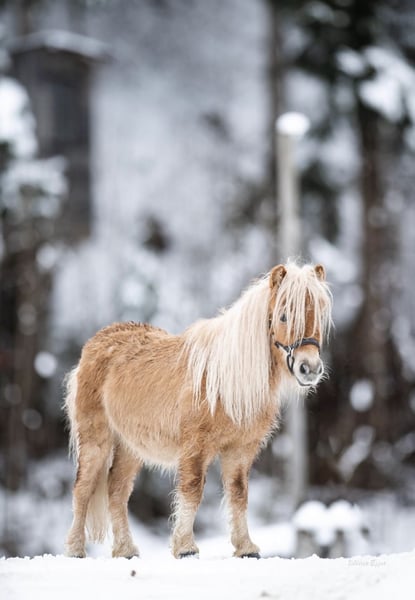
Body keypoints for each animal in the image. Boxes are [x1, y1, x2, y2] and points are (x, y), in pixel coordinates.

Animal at [64, 261, 332, 559]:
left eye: (320, 314)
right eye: (284, 316)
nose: (309, 368)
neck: (226, 380)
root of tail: (95, 344)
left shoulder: (240, 449)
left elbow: (238, 493)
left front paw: (245, 548)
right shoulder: (196, 446)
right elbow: (192, 490)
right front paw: (185, 547)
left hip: (130, 446)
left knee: (117, 490)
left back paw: (126, 550)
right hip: (95, 440)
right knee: (83, 488)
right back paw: (75, 549)